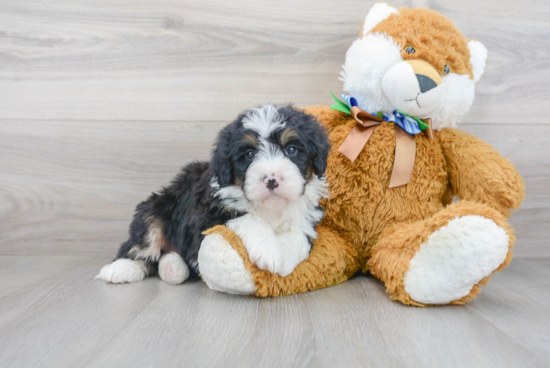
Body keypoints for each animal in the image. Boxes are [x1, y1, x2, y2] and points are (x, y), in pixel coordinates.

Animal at [96, 105, 330, 286]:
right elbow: (248, 217)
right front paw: (269, 251)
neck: (269, 207)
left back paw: (172, 268)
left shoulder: (308, 215)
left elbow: (300, 236)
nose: (271, 180)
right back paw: (121, 269)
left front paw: (285, 259)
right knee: (141, 244)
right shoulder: (207, 213)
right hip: (156, 207)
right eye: (250, 154)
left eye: (291, 149)